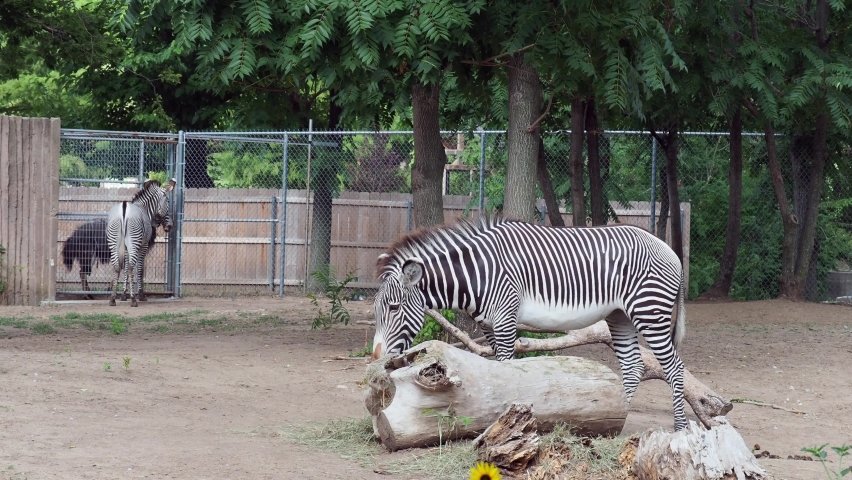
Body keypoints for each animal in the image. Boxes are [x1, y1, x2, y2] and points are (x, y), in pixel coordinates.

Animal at [107, 179, 175, 307]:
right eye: (168, 201)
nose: (170, 226)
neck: (145, 209)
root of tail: (124, 207)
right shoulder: (143, 245)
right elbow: (139, 269)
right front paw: (141, 294)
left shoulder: (126, 247)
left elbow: (125, 267)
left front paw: (123, 294)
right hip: (134, 242)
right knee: (131, 268)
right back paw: (134, 300)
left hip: (114, 243)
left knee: (117, 267)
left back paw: (113, 299)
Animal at [371, 215, 689, 431]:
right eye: (375, 311)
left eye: (394, 308)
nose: (376, 359)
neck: (477, 273)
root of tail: (668, 248)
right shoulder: (488, 326)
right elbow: (496, 373)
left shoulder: (505, 319)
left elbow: (508, 369)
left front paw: (507, 420)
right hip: (620, 315)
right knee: (633, 366)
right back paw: (617, 414)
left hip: (650, 311)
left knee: (674, 366)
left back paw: (680, 426)